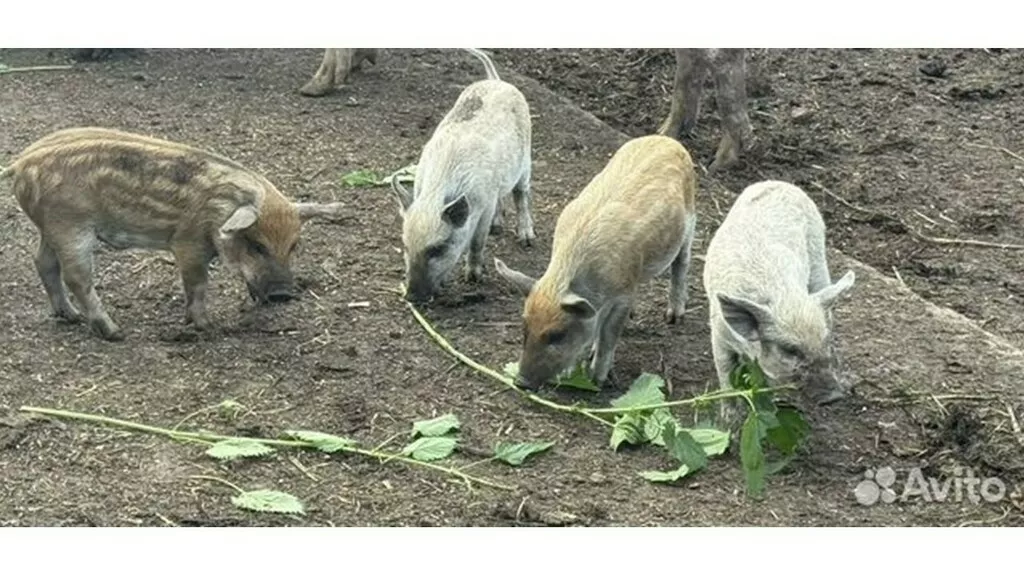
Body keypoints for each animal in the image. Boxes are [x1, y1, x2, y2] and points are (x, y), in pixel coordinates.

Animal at [3, 126, 342, 341]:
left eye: (294, 245)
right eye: (257, 245)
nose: (284, 294)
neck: (219, 212)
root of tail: (19, 164)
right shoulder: (187, 242)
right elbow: (198, 282)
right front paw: (207, 327)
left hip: (51, 227)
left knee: (43, 262)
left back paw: (69, 316)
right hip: (71, 226)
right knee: (77, 277)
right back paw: (115, 333)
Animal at [391, 48, 535, 302]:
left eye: (438, 248)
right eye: (405, 245)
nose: (411, 297)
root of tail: (497, 81)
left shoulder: (484, 205)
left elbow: (477, 242)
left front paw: (473, 279)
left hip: (526, 159)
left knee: (521, 195)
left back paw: (526, 239)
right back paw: (498, 228)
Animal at [494, 135, 698, 390]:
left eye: (558, 335)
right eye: (524, 328)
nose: (521, 382)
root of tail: (667, 140)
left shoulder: (622, 295)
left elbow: (609, 335)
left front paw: (597, 380)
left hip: (690, 225)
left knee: (681, 265)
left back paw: (673, 318)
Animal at [702, 180, 855, 423]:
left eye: (824, 342)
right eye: (789, 350)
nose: (835, 396)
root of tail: (782, 183)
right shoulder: (718, 335)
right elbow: (725, 374)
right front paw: (728, 420)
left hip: (818, 258)